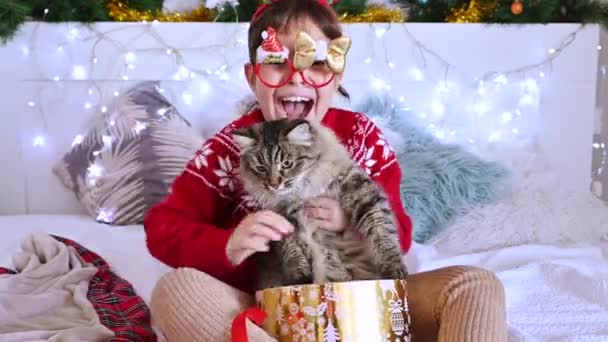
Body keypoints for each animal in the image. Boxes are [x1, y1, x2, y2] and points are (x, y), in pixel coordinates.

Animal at [233, 118, 408, 292]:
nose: (274, 185)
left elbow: (381, 230)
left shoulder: (360, 190)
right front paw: (300, 278)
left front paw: (393, 268)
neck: (304, 191)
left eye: (287, 164)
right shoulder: (281, 217)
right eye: (261, 168)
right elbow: (292, 249)